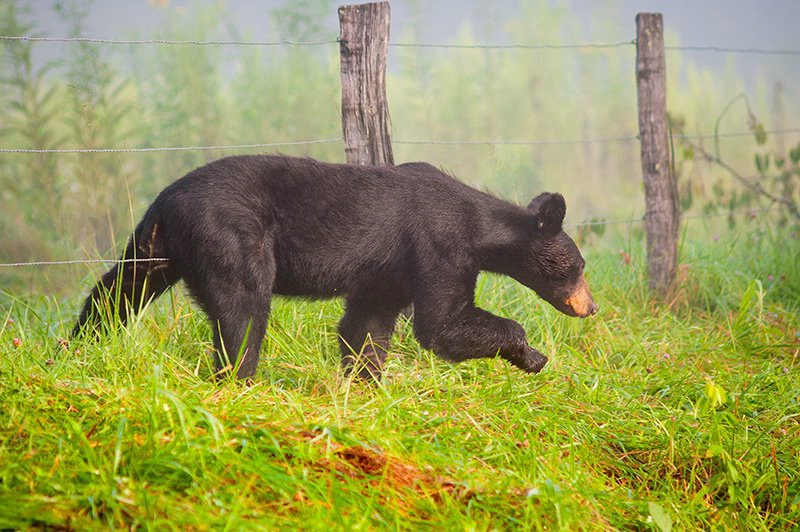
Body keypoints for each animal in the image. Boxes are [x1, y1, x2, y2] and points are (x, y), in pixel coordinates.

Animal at [72, 156, 596, 380]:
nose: (590, 307)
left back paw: (77, 345)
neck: (479, 226)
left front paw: (365, 380)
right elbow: (442, 323)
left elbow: (366, 324)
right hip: (230, 235)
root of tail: (165, 201)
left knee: (116, 292)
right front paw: (533, 354)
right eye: (579, 265)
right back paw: (241, 381)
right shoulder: (438, 246)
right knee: (244, 311)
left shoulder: (390, 266)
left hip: (154, 249)